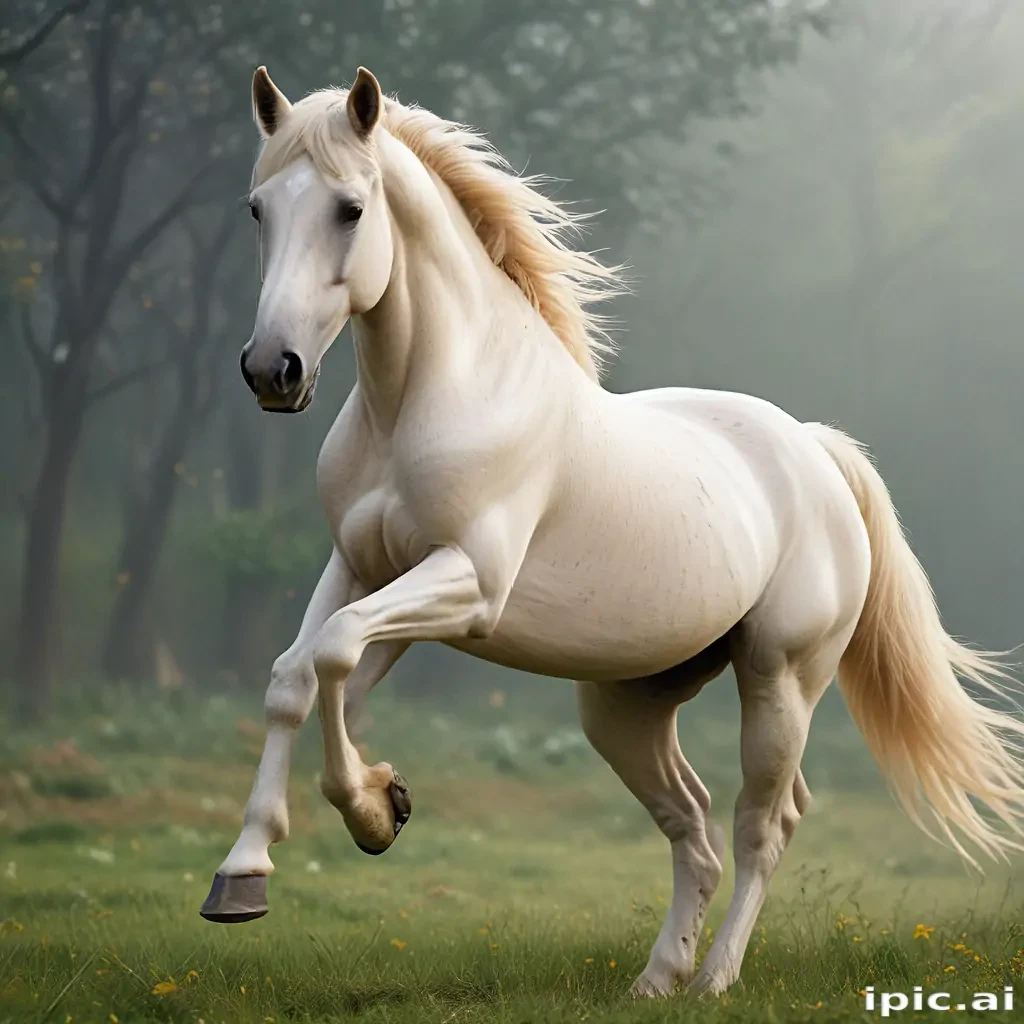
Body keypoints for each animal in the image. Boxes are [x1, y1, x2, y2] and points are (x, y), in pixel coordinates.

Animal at [200, 65, 1024, 998]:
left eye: (349, 209)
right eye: (258, 209)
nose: (272, 371)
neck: (427, 398)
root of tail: (814, 450)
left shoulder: (467, 583)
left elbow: (335, 653)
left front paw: (376, 811)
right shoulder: (362, 571)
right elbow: (297, 678)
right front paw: (248, 873)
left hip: (780, 679)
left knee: (763, 823)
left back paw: (714, 981)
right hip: (625, 704)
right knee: (692, 825)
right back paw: (657, 978)